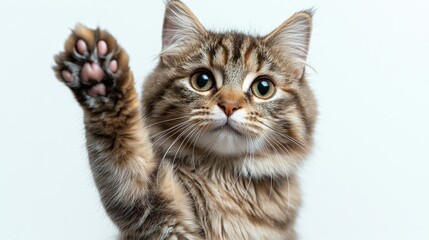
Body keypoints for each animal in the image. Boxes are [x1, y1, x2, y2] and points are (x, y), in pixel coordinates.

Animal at [52, 0, 314, 239]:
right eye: (202, 81)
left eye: (263, 87)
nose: (229, 105)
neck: (224, 177)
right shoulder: (154, 212)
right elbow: (126, 151)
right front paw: (98, 77)